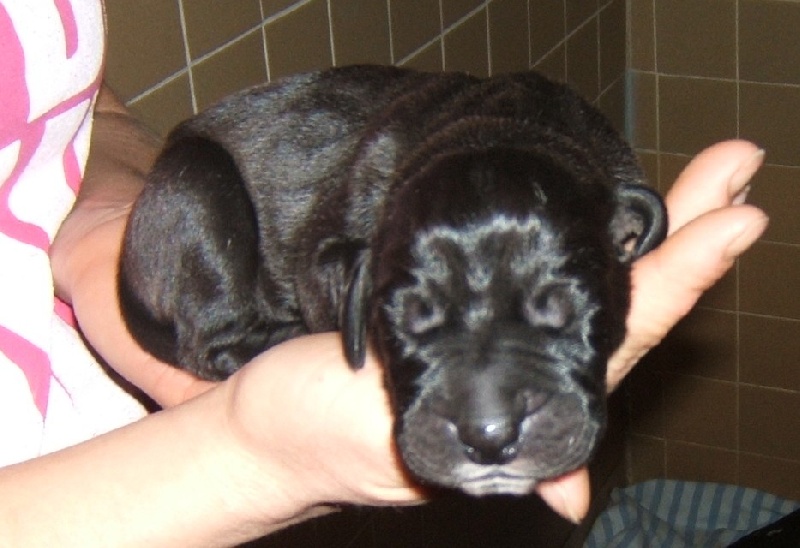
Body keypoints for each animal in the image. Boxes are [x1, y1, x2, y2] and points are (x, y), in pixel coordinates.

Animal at [119, 65, 667, 496]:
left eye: (565, 309)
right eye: (405, 319)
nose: (488, 436)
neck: (507, 127)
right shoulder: (322, 252)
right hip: (198, 186)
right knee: (210, 342)